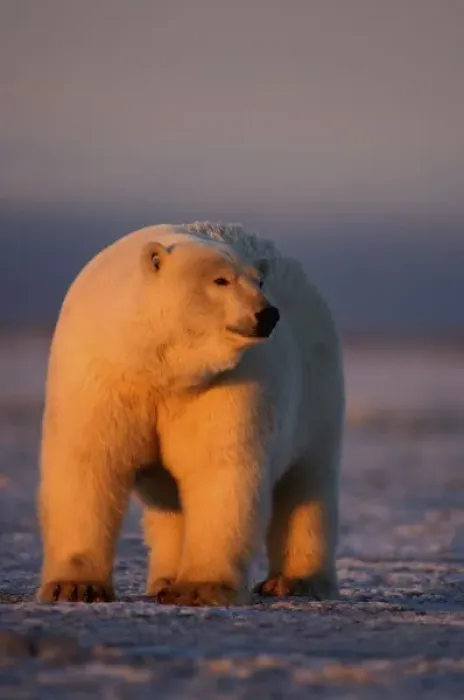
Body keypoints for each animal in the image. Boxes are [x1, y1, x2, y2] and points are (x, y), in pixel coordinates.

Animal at [37, 222, 344, 606]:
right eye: (220, 280)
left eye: (259, 281)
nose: (268, 314)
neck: (161, 368)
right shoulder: (103, 371)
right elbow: (89, 463)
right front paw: (75, 586)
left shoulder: (224, 381)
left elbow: (219, 469)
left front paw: (199, 588)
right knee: (171, 500)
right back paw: (165, 578)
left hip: (316, 393)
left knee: (305, 484)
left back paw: (294, 581)